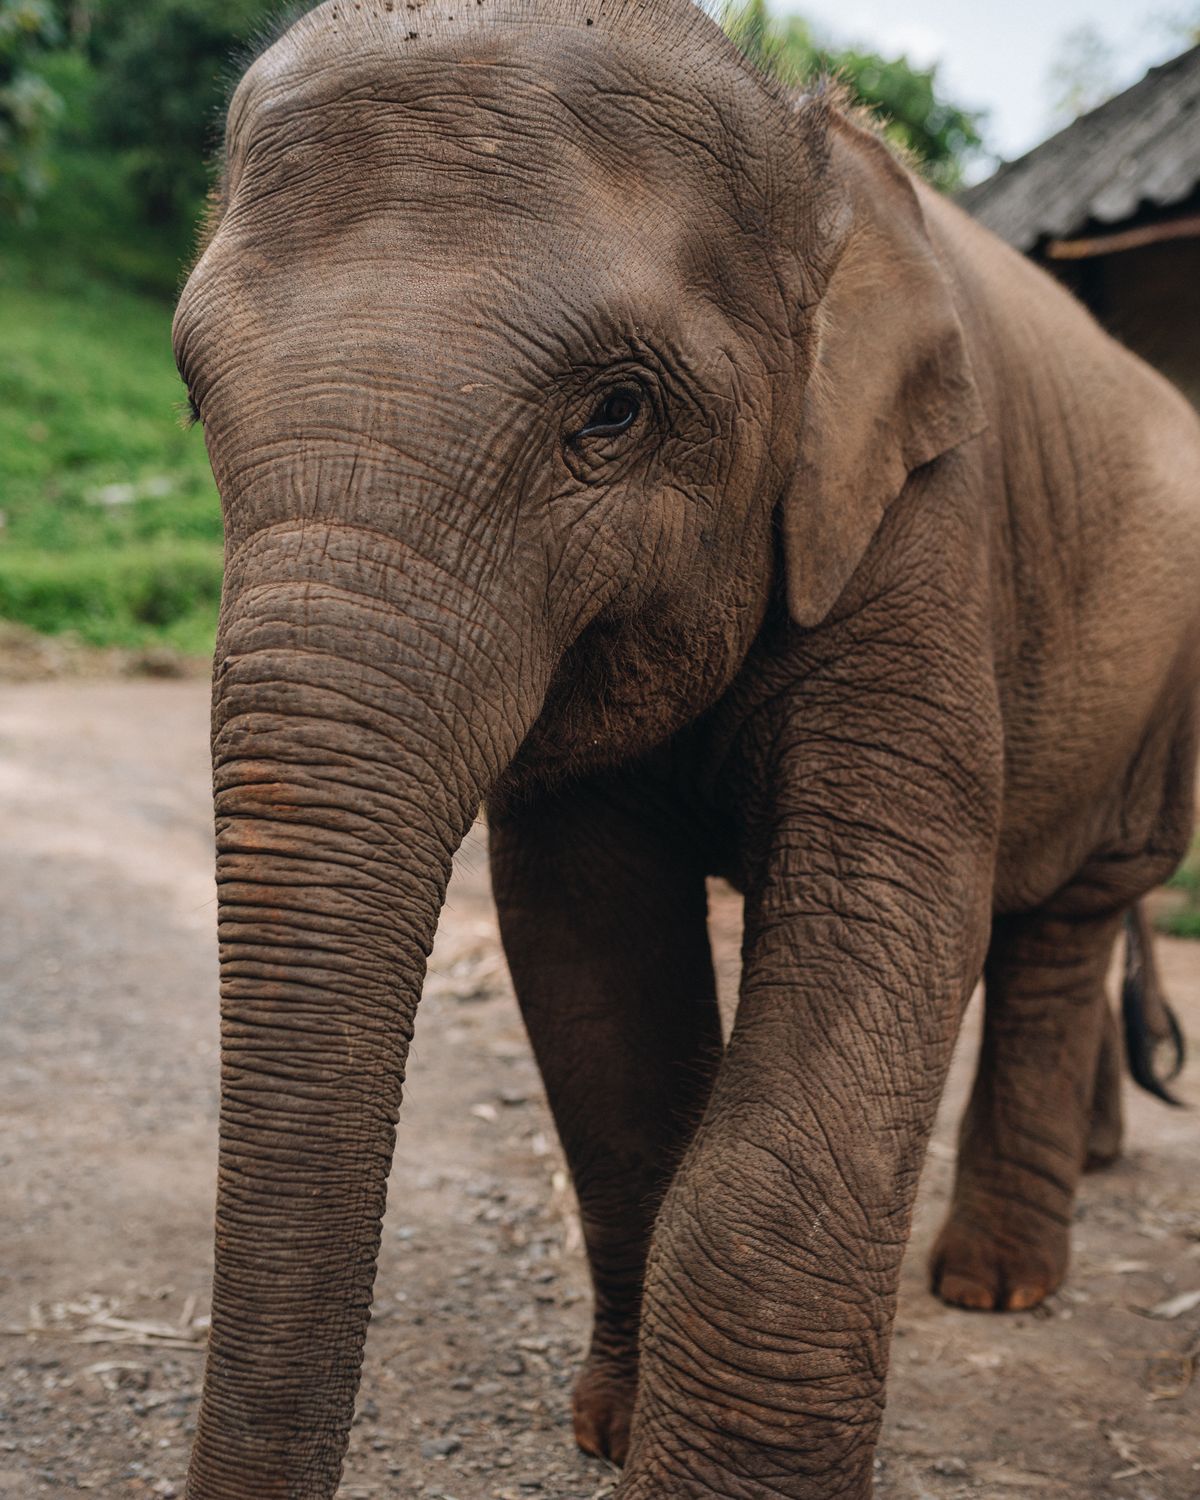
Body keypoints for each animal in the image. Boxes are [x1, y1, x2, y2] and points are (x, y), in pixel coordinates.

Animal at [171, 0, 1200, 1494]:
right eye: (194, 397)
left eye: (614, 412)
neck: (810, 160)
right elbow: (590, 963)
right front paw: (612, 1431)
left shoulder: (922, 522)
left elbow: (883, 914)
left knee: (1068, 918)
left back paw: (995, 1289)